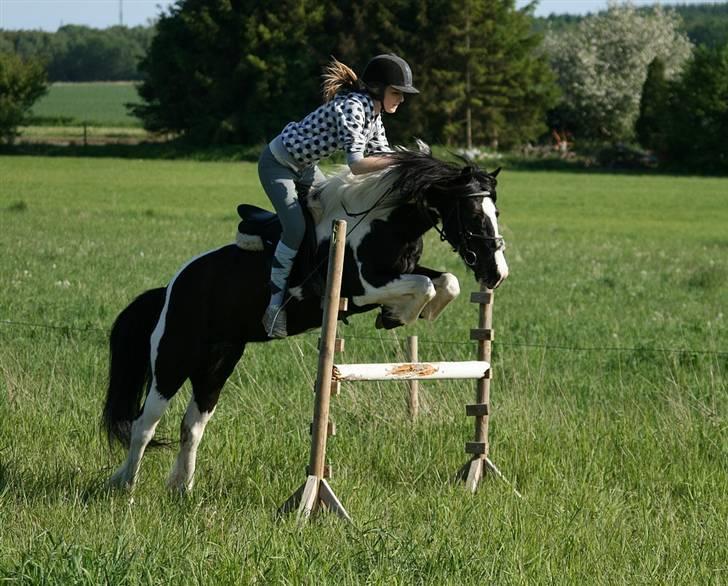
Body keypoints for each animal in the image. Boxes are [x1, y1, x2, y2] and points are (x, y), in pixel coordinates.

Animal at [102, 141, 510, 488]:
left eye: (496, 212)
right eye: (474, 214)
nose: (497, 274)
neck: (385, 222)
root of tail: (170, 290)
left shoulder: (400, 272)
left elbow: (446, 282)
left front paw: (402, 314)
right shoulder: (362, 288)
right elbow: (425, 286)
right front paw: (396, 316)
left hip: (218, 361)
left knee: (192, 425)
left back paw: (181, 488)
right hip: (173, 359)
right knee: (144, 424)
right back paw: (127, 487)